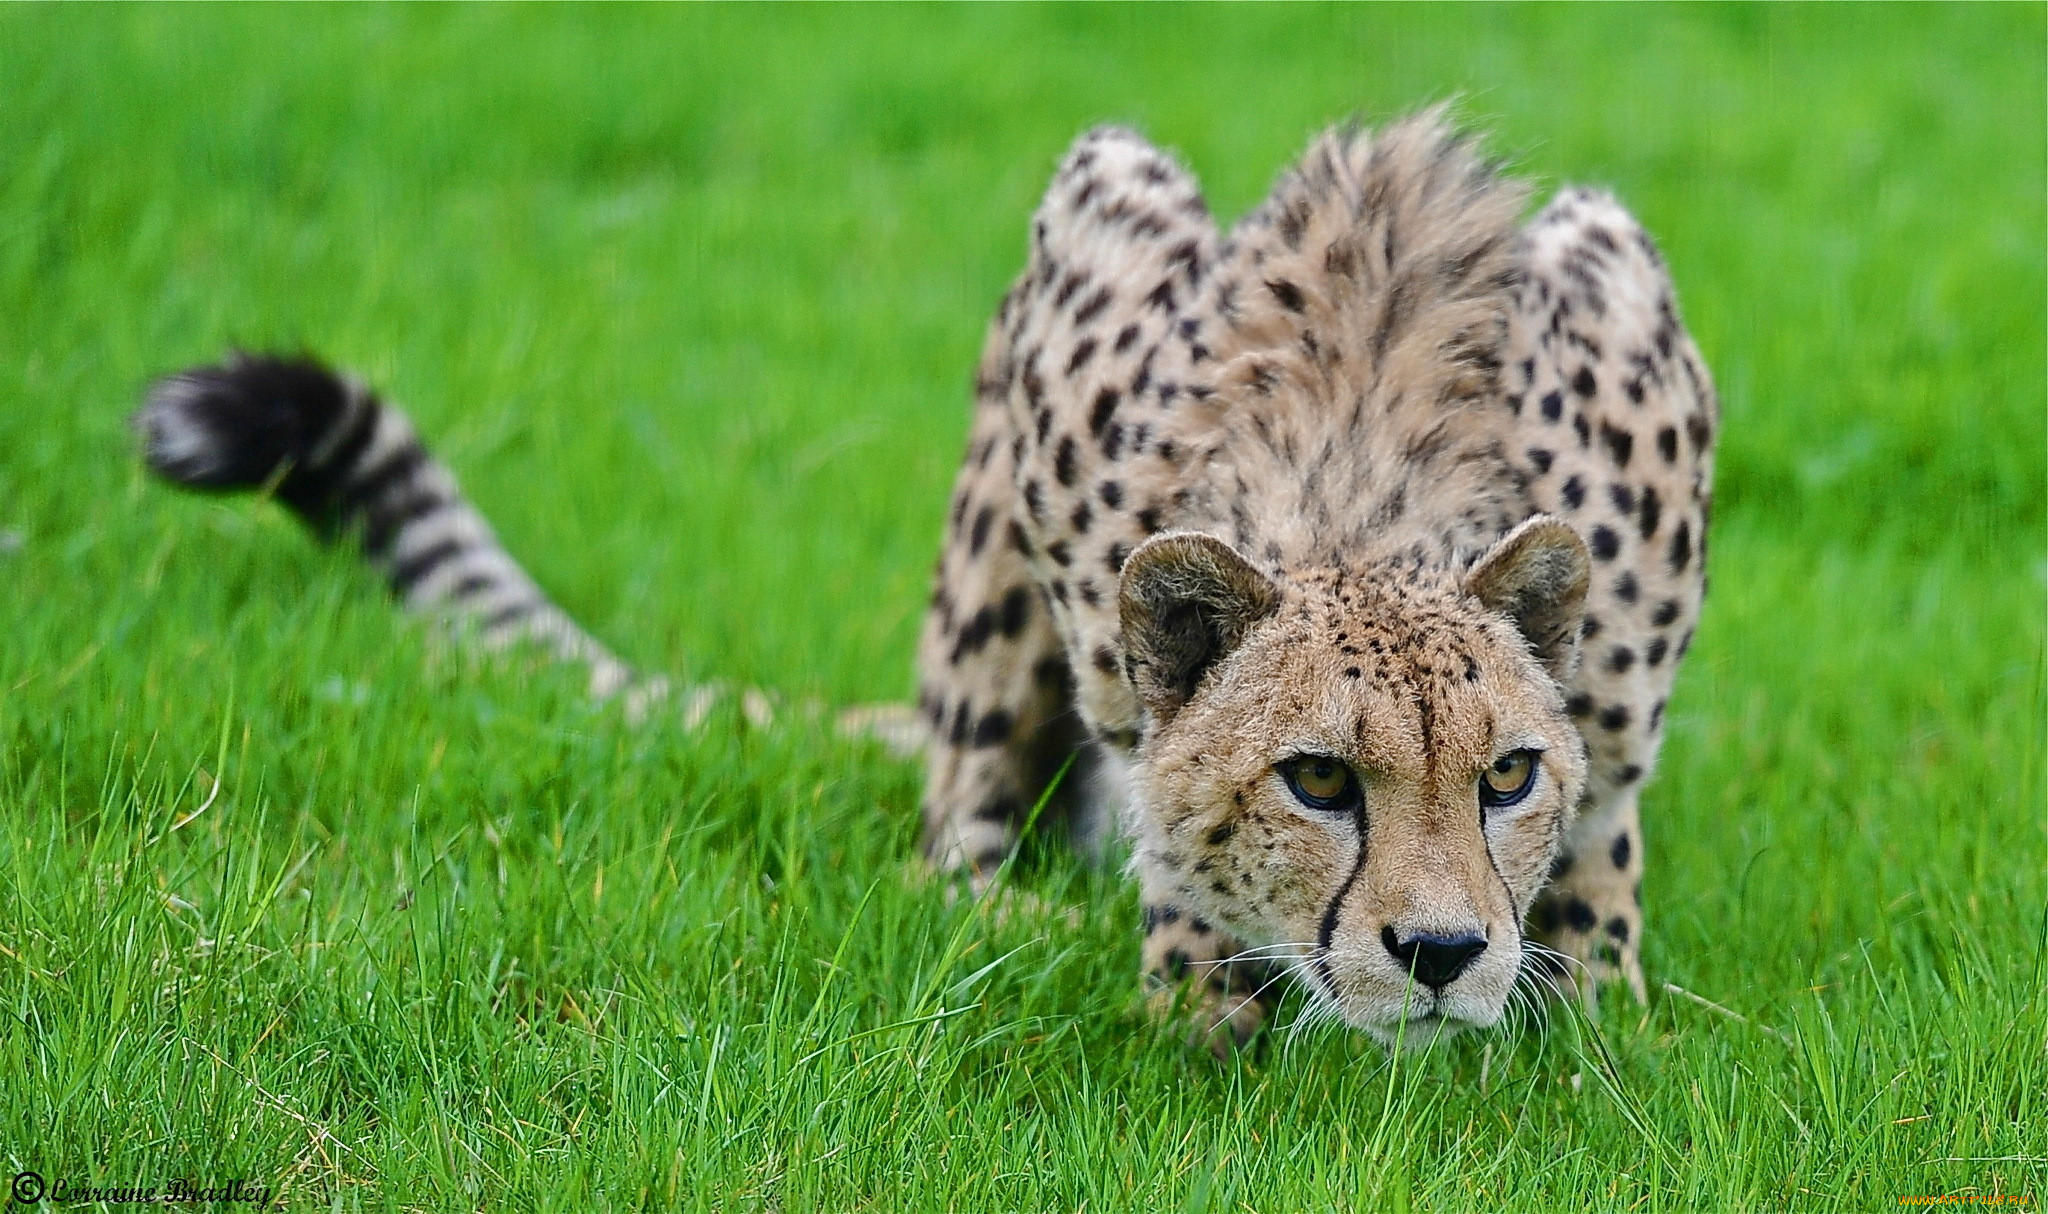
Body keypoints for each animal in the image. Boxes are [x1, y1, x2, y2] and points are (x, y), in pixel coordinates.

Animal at [132, 106, 1712, 1048]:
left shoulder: (1625, 293)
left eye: (1505, 775)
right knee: (953, 832)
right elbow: (1153, 812)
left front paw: (1587, 1012)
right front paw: (1195, 1000)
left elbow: (1605, 840)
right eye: (1319, 778)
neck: (1366, 504)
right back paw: (1032, 909)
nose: (1441, 950)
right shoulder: (1090, 239)